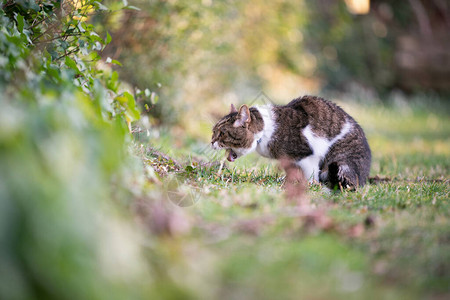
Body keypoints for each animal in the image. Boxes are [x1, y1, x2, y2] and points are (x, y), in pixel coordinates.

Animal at [211, 95, 372, 190]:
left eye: (222, 133)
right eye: (213, 132)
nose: (211, 142)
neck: (266, 130)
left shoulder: (308, 156)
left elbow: (310, 175)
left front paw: (308, 185)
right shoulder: (289, 160)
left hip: (341, 160)